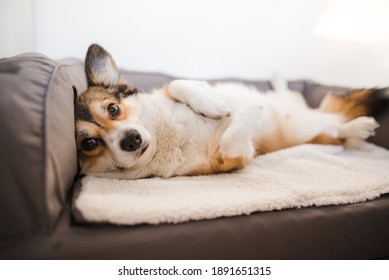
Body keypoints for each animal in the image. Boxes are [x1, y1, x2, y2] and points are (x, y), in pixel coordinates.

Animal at [74, 43, 386, 179]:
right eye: (89, 143)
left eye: (113, 109)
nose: (131, 140)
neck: (166, 136)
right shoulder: (232, 159)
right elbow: (229, 141)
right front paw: (250, 114)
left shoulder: (180, 87)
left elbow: (178, 83)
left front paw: (213, 105)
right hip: (322, 136)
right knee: (339, 133)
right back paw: (359, 126)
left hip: (297, 105)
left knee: (294, 95)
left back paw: (279, 79)